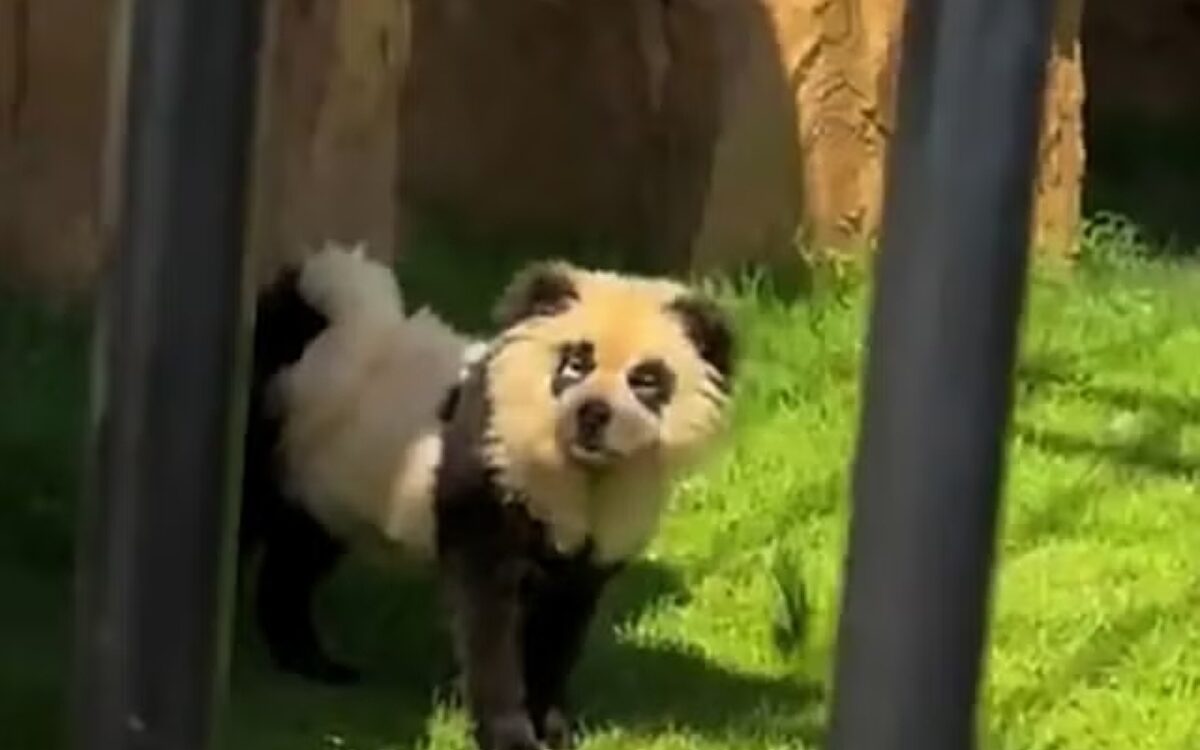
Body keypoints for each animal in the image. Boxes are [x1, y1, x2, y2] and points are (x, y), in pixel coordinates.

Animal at [240, 245, 736, 750]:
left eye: (646, 380)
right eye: (575, 363)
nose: (592, 415)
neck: (579, 473)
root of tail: (305, 320)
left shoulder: (585, 557)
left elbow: (558, 632)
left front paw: (554, 729)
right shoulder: (488, 489)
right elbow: (490, 628)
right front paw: (511, 737)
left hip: (327, 486)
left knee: (295, 563)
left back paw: (312, 661)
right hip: (275, 438)